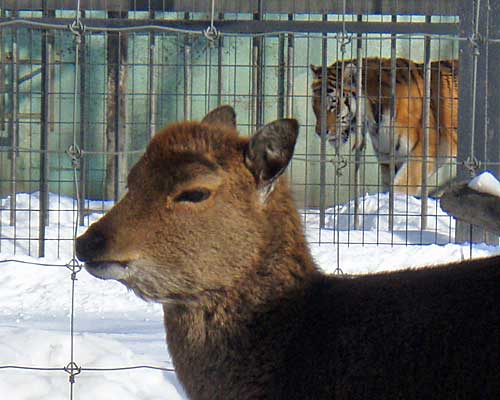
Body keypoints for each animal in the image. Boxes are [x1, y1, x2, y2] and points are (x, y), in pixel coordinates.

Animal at [310, 58, 458, 197]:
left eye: (332, 106)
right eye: (314, 107)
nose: (319, 133)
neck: (374, 122)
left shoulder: (423, 152)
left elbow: (399, 187)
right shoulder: (389, 159)